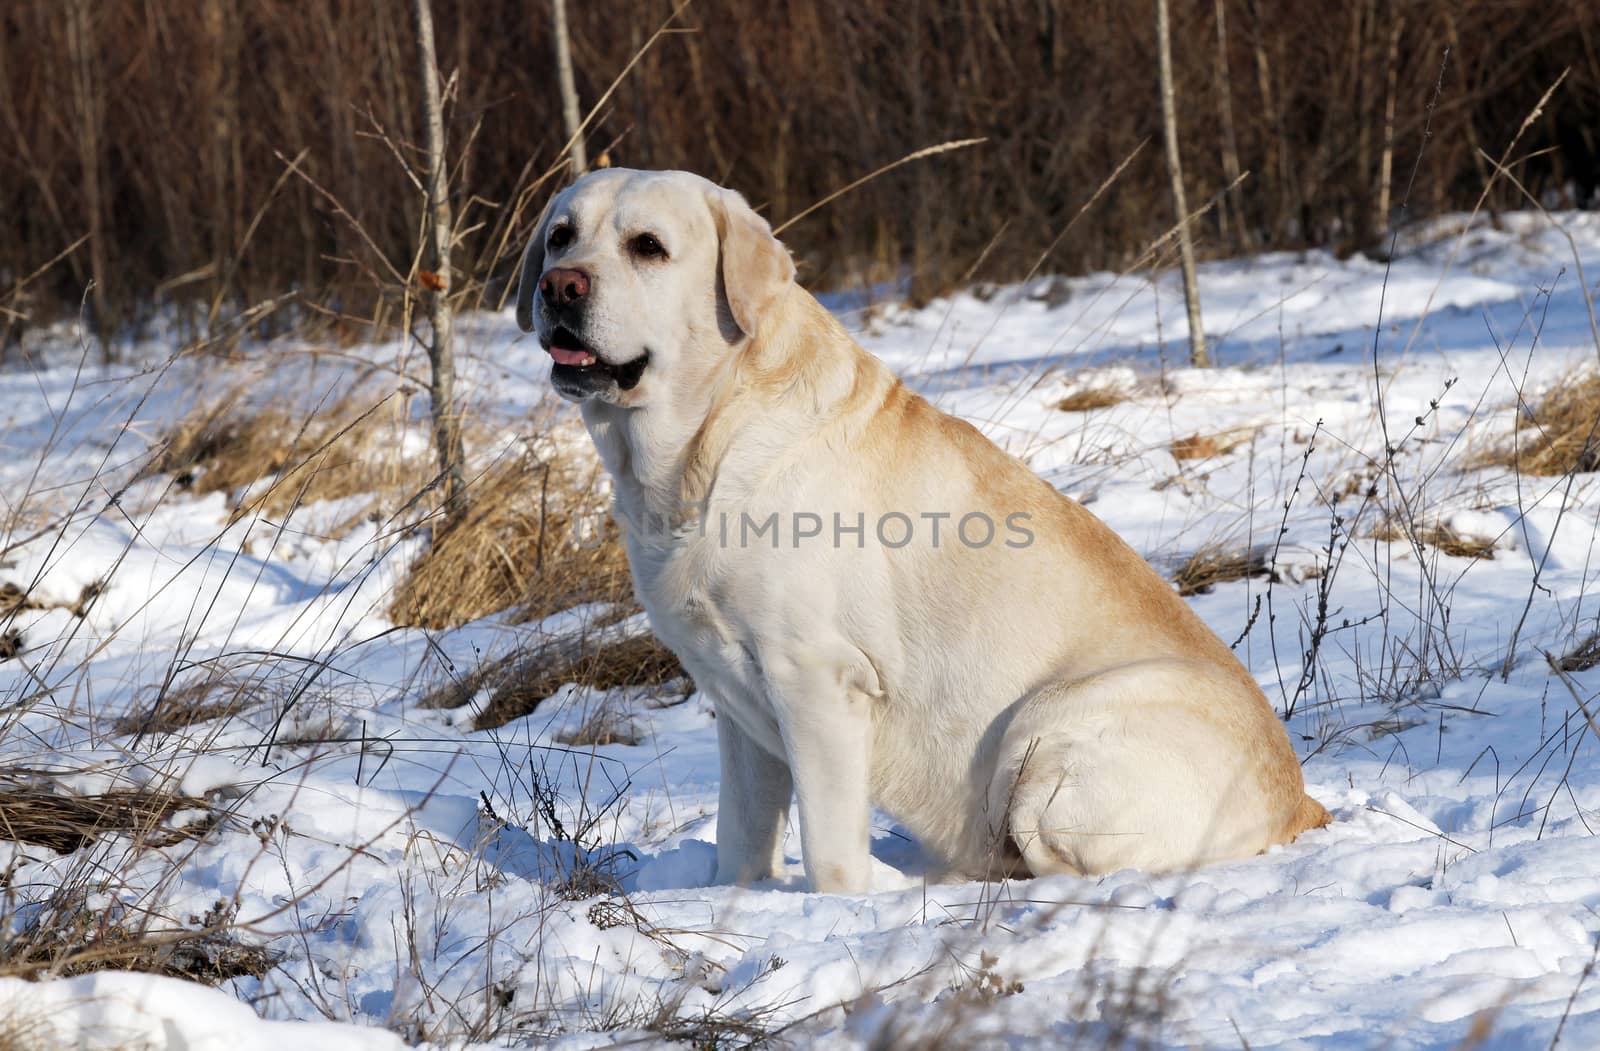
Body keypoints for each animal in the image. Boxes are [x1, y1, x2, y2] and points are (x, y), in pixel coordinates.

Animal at [515, 167, 1324, 889]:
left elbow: (831, 858)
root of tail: (1302, 802)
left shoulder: (817, 681)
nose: (560, 287)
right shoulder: (737, 705)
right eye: (561, 237)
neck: (706, 437)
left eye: (648, 246)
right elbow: (741, 849)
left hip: (1045, 733)